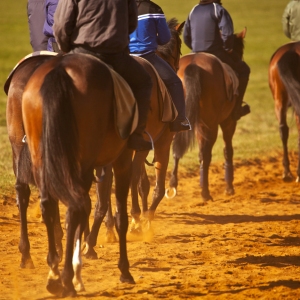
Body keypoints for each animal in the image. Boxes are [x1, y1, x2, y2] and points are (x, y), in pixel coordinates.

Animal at [22, 53, 136, 296]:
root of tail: (60, 68)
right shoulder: (122, 159)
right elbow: (120, 216)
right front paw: (124, 270)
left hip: (40, 156)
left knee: (50, 206)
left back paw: (55, 274)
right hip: (82, 160)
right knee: (75, 208)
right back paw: (66, 278)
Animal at [168, 28, 247, 202]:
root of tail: (193, 65)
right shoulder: (228, 122)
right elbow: (227, 150)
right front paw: (229, 187)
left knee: (176, 149)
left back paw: (173, 185)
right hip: (210, 124)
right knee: (206, 153)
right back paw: (205, 192)